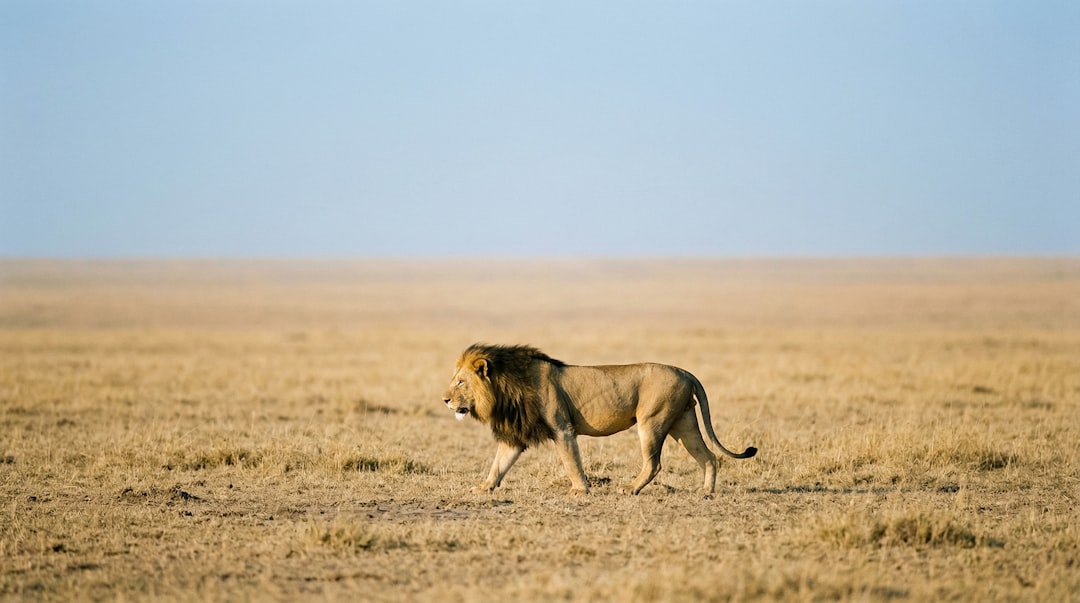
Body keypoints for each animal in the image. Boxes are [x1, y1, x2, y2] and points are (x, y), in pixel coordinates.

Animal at [442, 344, 757, 495]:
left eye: (460, 382)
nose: (444, 400)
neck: (506, 389)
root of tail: (685, 371)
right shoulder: (516, 436)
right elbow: (498, 465)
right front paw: (483, 488)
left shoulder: (562, 428)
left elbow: (571, 461)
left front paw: (580, 490)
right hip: (684, 422)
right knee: (709, 457)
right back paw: (707, 492)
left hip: (652, 420)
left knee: (654, 463)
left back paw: (630, 489)